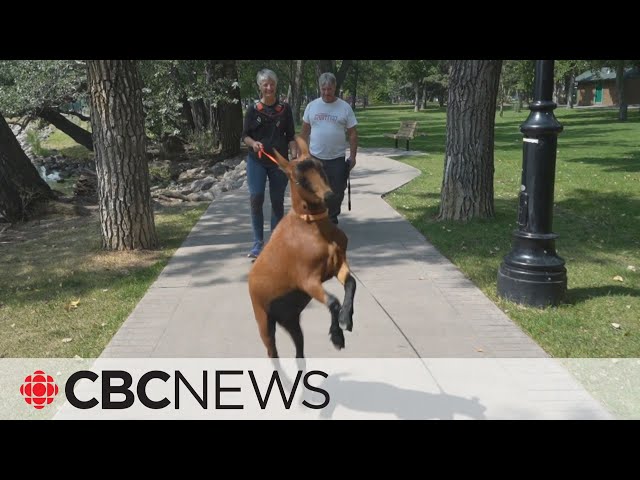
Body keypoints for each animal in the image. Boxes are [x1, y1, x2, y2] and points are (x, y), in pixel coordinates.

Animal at [249, 137, 358, 358]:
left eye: (321, 166)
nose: (330, 196)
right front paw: (337, 337)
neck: (311, 226)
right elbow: (332, 301)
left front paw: (346, 318)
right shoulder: (306, 279)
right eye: (299, 179)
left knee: (299, 353)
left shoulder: (337, 264)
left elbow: (351, 283)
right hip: (263, 319)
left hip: (292, 322)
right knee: (272, 353)